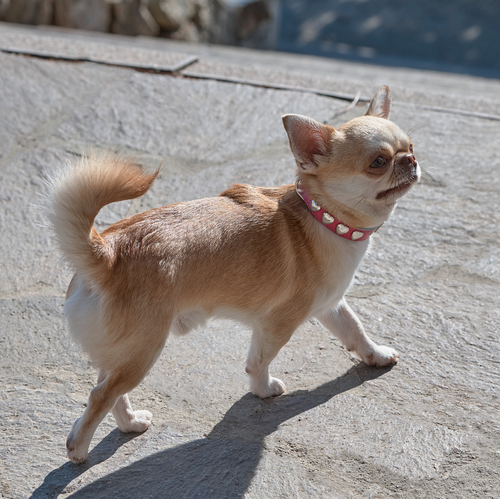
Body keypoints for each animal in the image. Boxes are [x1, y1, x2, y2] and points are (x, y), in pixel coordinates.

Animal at [49, 87, 418, 464]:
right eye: (378, 162)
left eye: (411, 146)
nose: (409, 160)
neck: (323, 217)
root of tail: (108, 253)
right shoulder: (276, 324)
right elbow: (259, 360)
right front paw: (263, 390)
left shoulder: (330, 305)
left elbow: (355, 330)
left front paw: (376, 355)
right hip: (143, 351)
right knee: (99, 397)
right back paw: (78, 451)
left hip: (124, 353)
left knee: (107, 389)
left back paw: (129, 422)